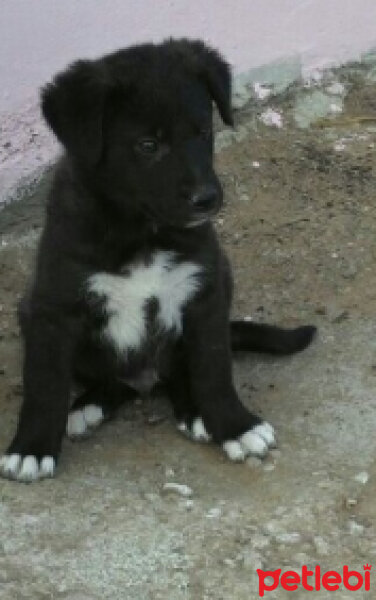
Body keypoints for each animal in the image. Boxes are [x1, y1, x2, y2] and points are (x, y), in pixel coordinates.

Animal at [0, 39, 316, 480]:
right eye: (148, 145)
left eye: (204, 132)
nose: (207, 199)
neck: (140, 230)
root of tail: (145, 380)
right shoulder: (52, 310)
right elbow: (44, 385)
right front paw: (31, 449)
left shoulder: (205, 292)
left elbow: (214, 369)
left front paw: (235, 425)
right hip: (34, 315)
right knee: (110, 380)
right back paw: (86, 406)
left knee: (180, 371)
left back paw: (193, 411)